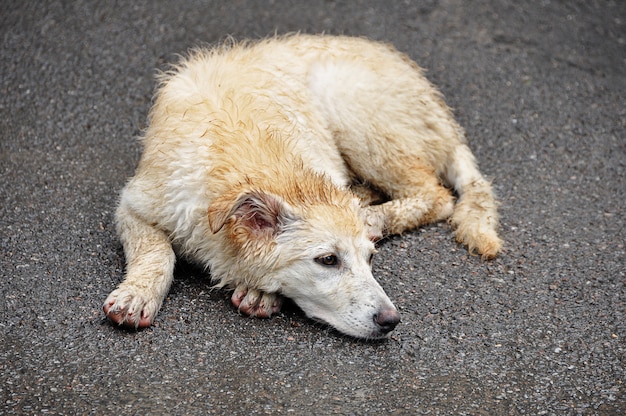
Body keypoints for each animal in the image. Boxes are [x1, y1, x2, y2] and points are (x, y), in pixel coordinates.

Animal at [103, 34, 502, 340]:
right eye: (327, 260)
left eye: (371, 259)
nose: (391, 321)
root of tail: (442, 114)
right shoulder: (135, 203)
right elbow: (156, 251)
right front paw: (137, 295)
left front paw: (258, 292)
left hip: (352, 106)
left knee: (436, 195)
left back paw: (373, 217)